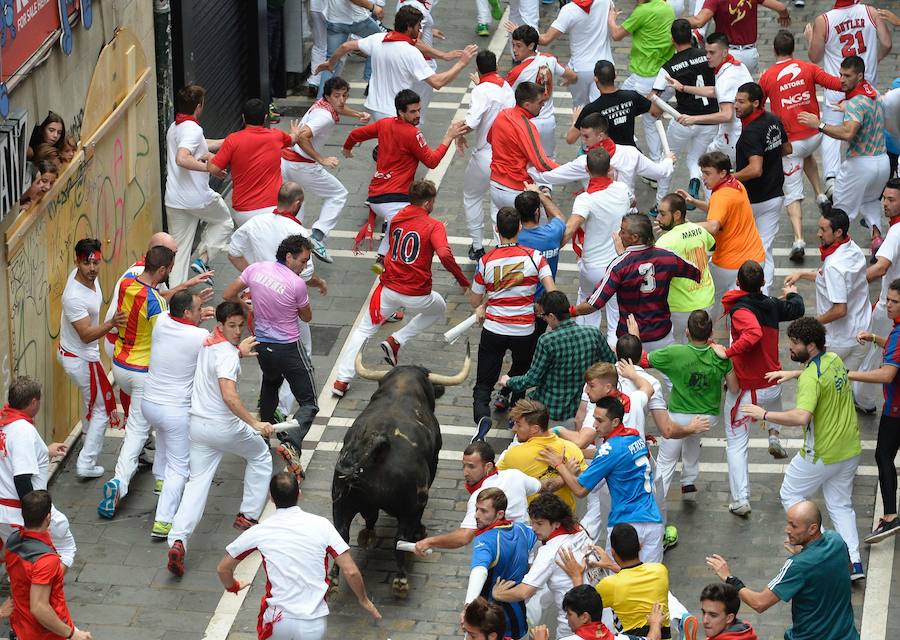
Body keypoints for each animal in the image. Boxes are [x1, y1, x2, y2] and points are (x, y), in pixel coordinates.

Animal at [330, 348, 472, 596]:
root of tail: (380, 443)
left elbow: (370, 518)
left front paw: (368, 536)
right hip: (411, 506)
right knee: (401, 539)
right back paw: (401, 579)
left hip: (341, 504)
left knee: (341, 536)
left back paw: (334, 581)